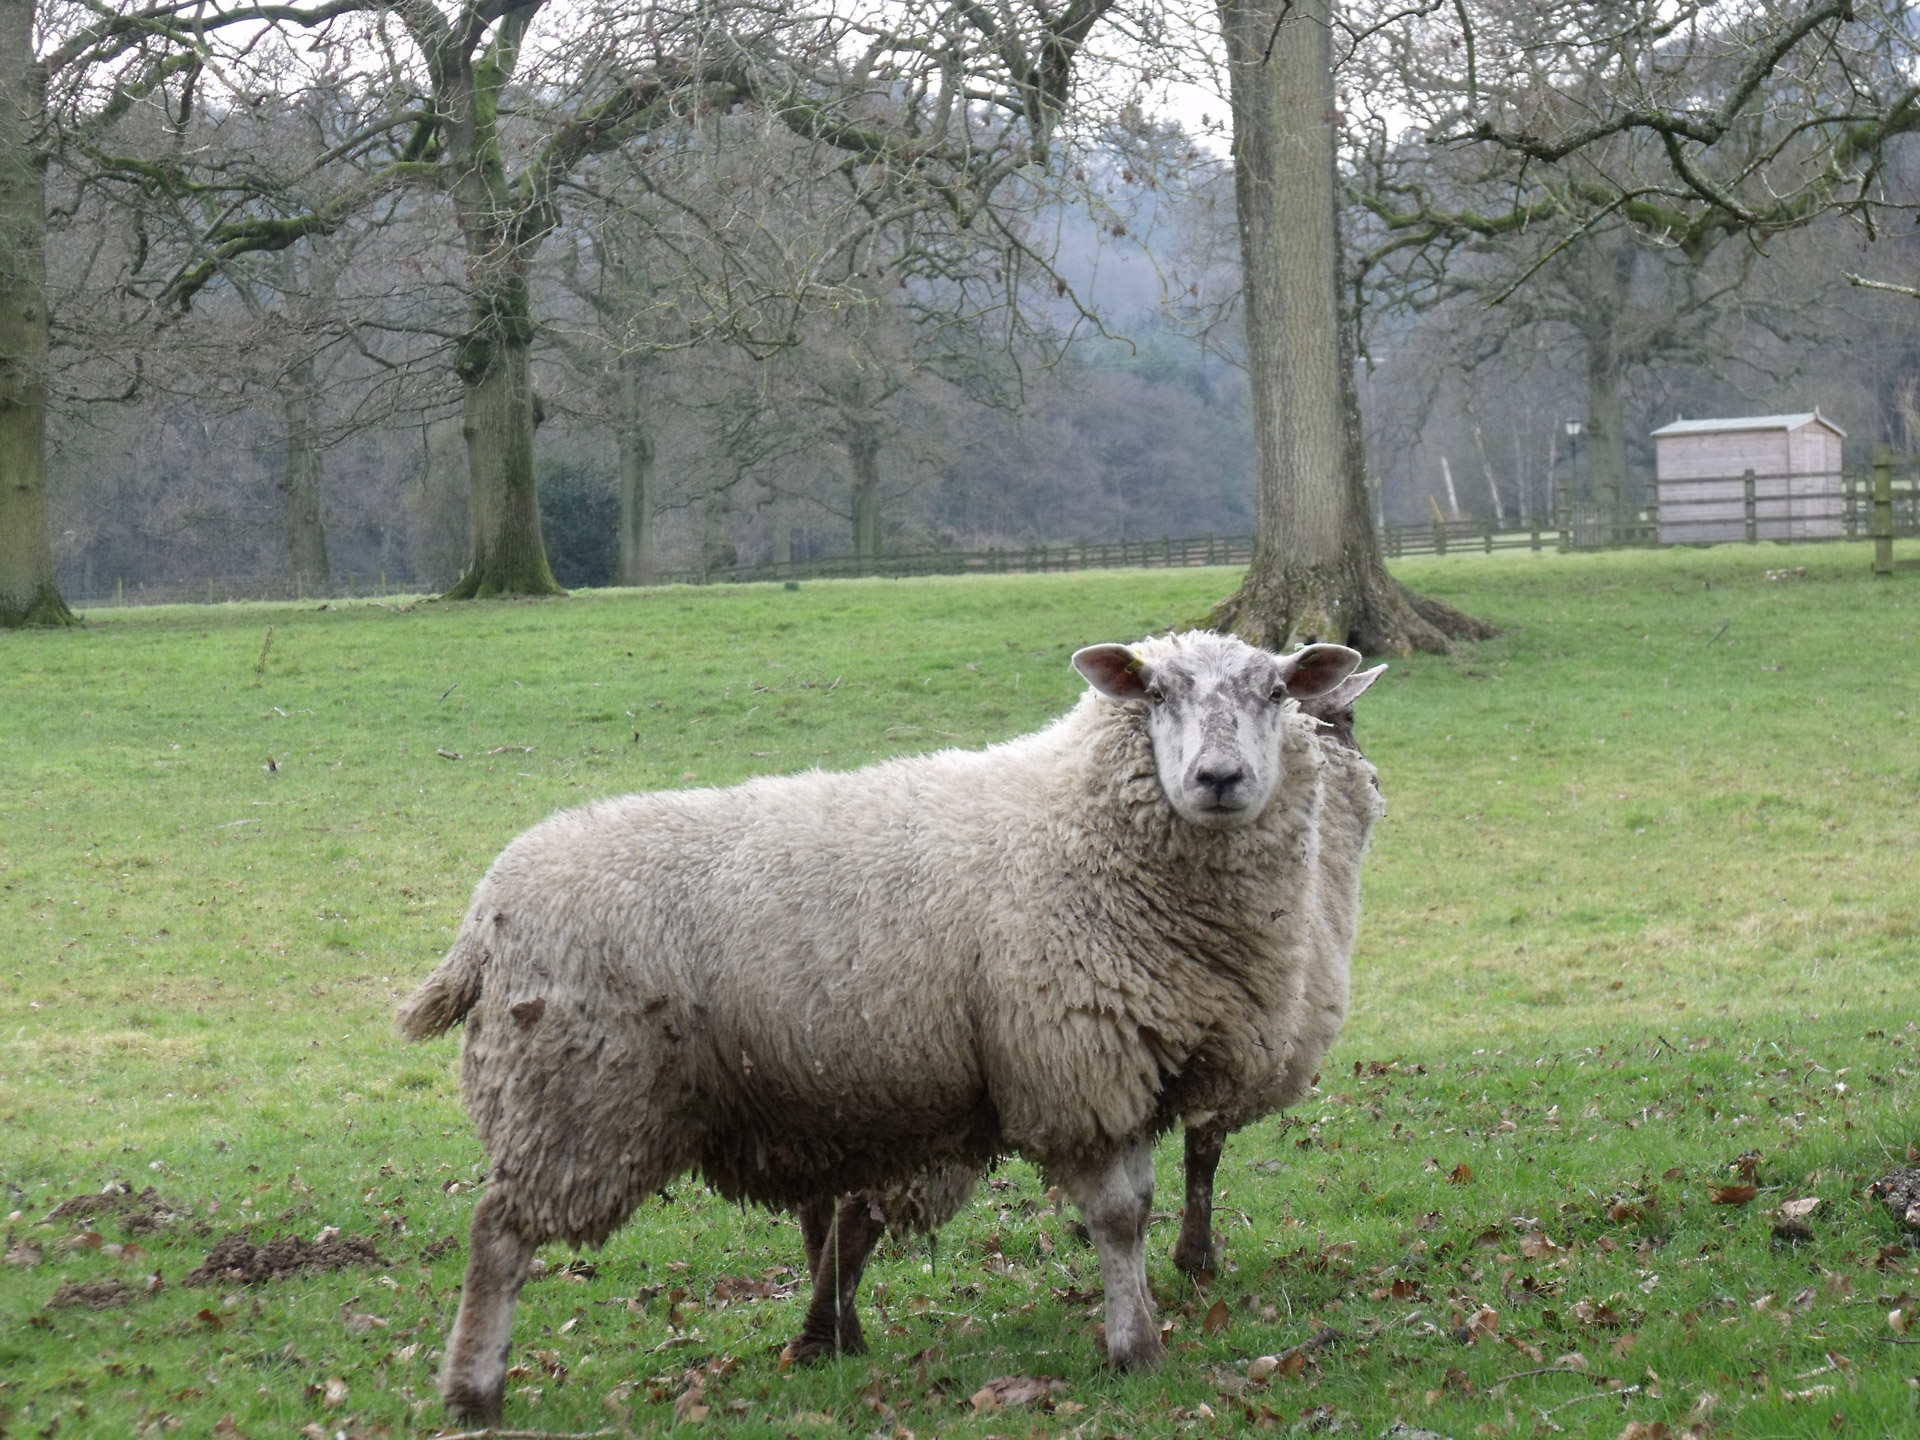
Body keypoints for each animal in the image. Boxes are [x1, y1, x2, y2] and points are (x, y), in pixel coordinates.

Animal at [401, 629, 1367, 1420]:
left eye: (1275, 693)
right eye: (1157, 694)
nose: (1219, 780)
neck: (1081, 822)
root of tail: (486, 915)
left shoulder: (1121, 1065)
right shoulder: (1078, 1059)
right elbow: (1122, 1216)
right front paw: (1136, 1349)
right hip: (576, 1092)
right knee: (499, 1233)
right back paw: (474, 1392)